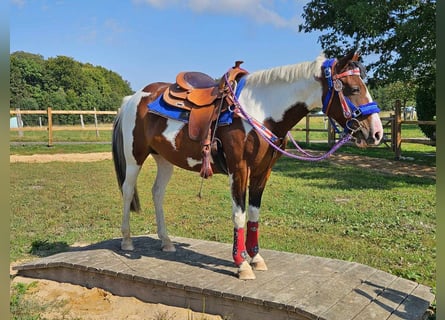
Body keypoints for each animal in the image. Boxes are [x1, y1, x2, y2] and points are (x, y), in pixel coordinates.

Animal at [110, 50, 382, 280]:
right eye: (353, 88)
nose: (377, 133)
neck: (261, 112)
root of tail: (134, 98)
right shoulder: (239, 169)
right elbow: (239, 215)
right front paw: (241, 264)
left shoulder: (263, 171)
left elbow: (253, 214)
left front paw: (256, 258)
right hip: (135, 158)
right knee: (127, 192)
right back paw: (126, 241)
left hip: (165, 159)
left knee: (157, 193)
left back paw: (166, 242)